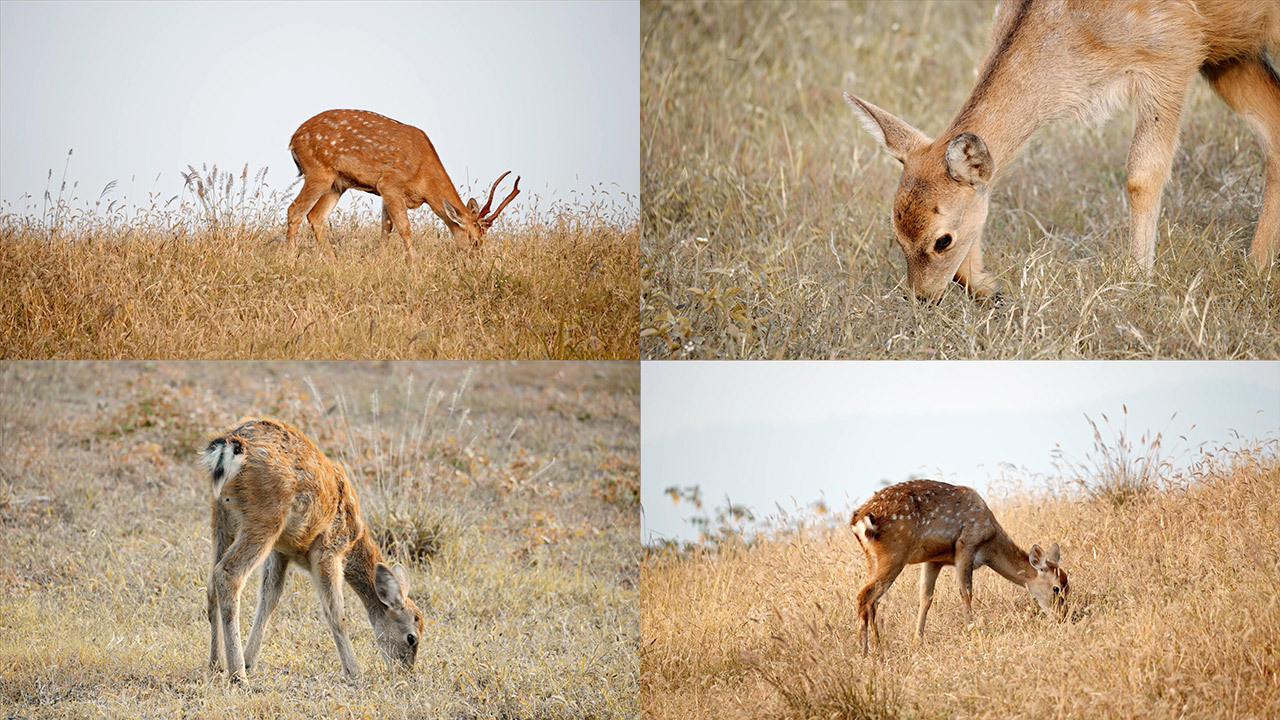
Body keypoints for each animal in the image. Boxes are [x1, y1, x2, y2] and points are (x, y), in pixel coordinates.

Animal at [197, 415, 422, 676]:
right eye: (411, 638)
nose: (405, 672)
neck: (353, 541)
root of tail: (230, 446)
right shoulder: (328, 550)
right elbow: (336, 613)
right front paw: (354, 672)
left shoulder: (280, 551)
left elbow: (270, 598)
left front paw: (250, 661)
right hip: (264, 518)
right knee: (228, 574)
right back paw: (237, 676)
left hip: (222, 518)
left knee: (211, 583)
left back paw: (216, 663)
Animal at [288, 107, 522, 258]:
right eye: (475, 241)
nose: (477, 260)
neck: (423, 180)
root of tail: (293, 139)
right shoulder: (390, 183)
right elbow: (404, 228)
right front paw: (414, 265)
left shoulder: (384, 190)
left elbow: (386, 227)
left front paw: (380, 263)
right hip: (318, 171)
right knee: (295, 210)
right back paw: (291, 259)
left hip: (338, 183)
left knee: (316, 216)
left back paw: (333, 262)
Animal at [839, 0, 1280, 299]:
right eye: (896, 233)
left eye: (942, 240)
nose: (922, 297)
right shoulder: (1217, 50)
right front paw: (988, 286)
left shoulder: (1174, 50)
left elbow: (1142, 173)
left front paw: (1137, 280)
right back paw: (1255, 269)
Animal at [849, 479, 1070, 653]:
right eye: (1056, 588)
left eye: (1068, 587)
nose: (1064, 618)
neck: (990, 543)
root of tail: (858, 521)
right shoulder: (966, 544)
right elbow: (966, 591)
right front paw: (972, 629)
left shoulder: (934, 559)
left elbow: (926, 597)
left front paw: (918, 641)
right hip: (895, 553)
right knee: (865, 596)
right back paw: (865, 650)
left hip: (872, 558)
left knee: (873, 601)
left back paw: (877, 645)